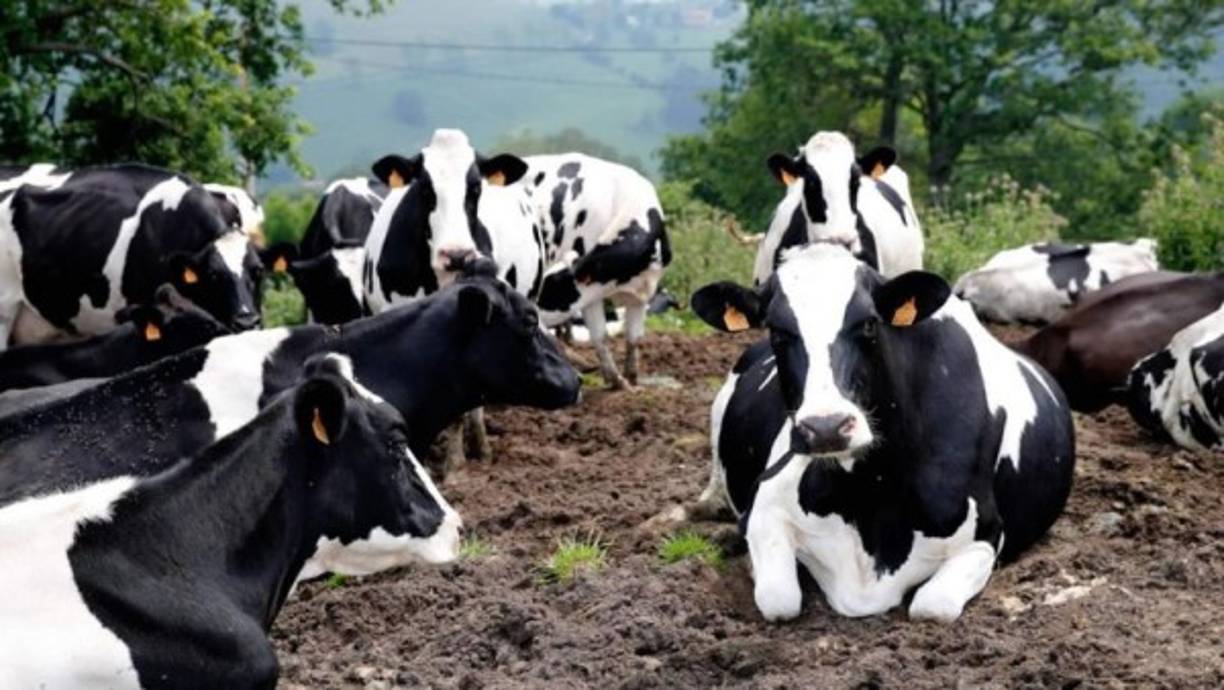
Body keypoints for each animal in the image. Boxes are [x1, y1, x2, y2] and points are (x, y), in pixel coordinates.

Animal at [524, 154, 672, 388]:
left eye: (549, 292)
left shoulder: (642, 293)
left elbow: (634, 337)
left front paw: (632, 378)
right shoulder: (590, 295)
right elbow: (600, 336)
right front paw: (616, 380)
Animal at [689, 243, 1075, 623]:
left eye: (869, 324)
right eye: (777, 331)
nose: (826, 427)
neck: (870, 488)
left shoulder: (984, 536)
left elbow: (932, 608)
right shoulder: (765, 507)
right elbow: (778, 599)